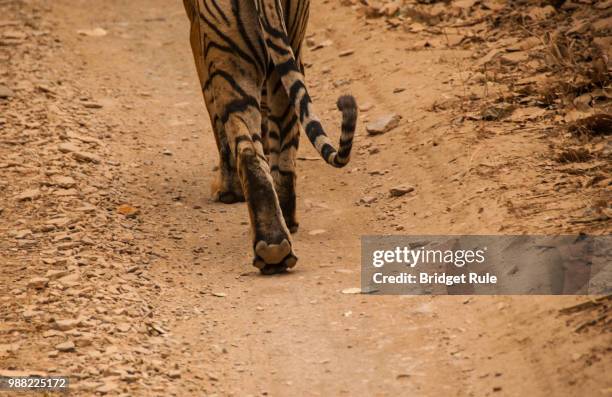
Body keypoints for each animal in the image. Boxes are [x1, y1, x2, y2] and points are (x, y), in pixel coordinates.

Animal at [182, 0, 356, 272]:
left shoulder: (197, 35)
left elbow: (217, 121)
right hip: (283, 50)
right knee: (272, 149)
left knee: (245, 146)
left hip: (228, 55)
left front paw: (228, 191)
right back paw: (280, 234)